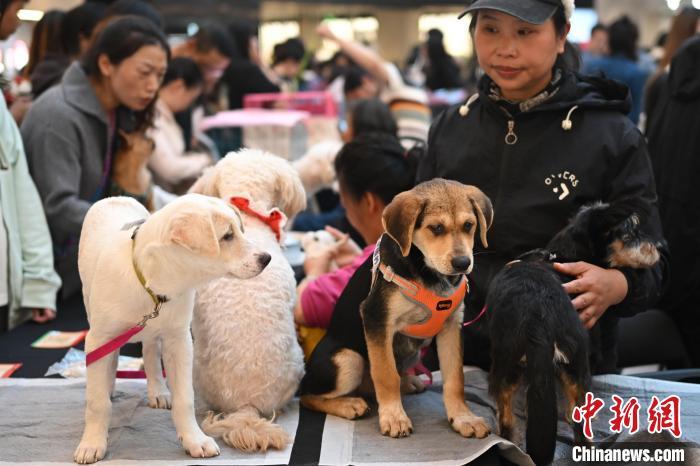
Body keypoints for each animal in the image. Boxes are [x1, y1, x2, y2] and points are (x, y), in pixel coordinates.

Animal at [74, 193, 270, 462]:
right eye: (227, 236)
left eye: (240, 231)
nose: (267, 258)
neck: (154, 285)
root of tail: (115, 197)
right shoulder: (98, 339)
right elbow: (97, 402)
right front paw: (92, 443)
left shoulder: (179, 340)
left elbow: (185, 398)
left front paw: (194, 439)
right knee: (111, 360)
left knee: (150, 352)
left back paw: (157, 390)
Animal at [300, 177, 492, 436]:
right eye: (436, 228)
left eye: (469, 225)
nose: (463, 263)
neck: (428, 273)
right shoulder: (376, 318)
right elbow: (385, 373)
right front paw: (393, 417)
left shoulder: (452, 326)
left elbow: (455, 378)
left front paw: (463, 418)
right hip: (349, 359)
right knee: (307, 396)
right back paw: (348, 404)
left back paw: (407, 383)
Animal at [486, 201, 660, 466]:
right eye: (630, 234)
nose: (658, 248)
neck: (564, 256)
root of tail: (538, 312)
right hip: (575, 360)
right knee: (577, 420)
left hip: (510, 360)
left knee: (508, 413)